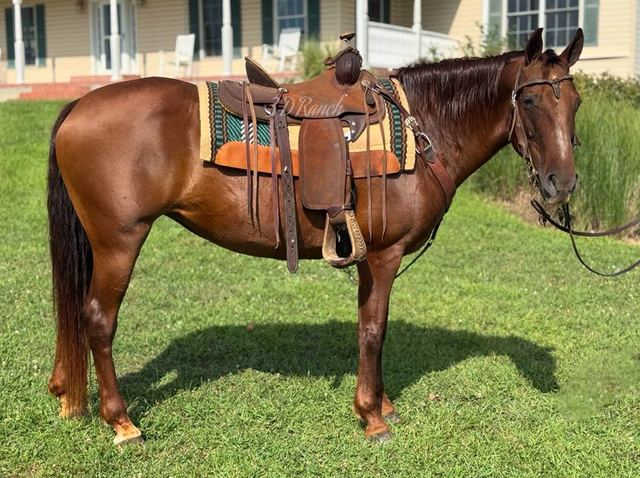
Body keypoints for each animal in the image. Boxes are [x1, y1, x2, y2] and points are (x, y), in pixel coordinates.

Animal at [46, 28, 583, 445]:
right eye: (529, 100)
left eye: (575, 102)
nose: (562, 183)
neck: (424, 127)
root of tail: (80, 104)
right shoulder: (383, 255)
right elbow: (373, 330)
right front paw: (371, 416)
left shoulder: (367, 258)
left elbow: (370, 327)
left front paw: (381, 403)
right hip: (119, 241)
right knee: (98, 320)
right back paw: (122, 423)